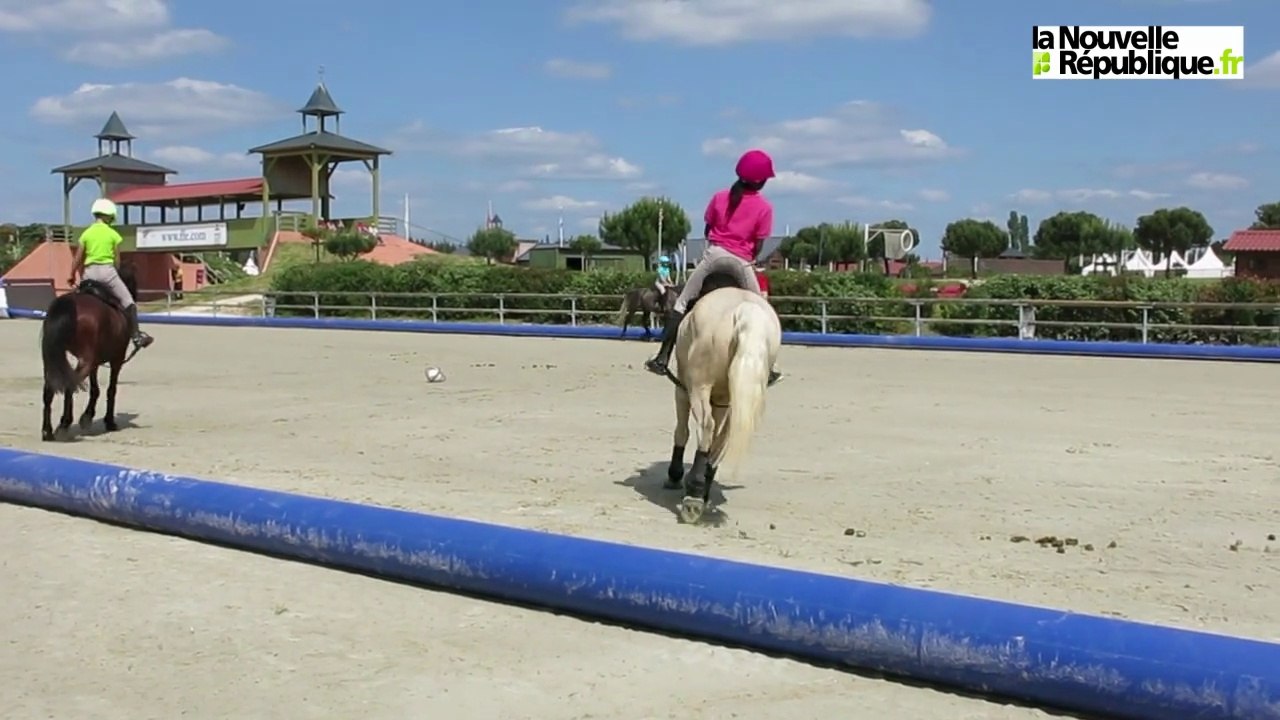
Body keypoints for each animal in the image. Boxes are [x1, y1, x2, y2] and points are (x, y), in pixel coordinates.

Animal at [40, 264, 141, 441]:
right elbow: (111, 389)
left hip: (55, 360)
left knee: (49, 390)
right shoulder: (117, 359)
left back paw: (48, 431)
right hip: (86, 361)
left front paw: (87, 417)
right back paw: (64, 425)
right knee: (70, 385)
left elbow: (95, 390)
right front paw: (109, 421)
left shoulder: (95, 361)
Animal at [662, 271, 782, 523]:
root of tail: (745, 311)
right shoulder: (721, 400)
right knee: (723, 438)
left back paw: (694, 495)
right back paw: (702, 488)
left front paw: (675, 475)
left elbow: (682, 431)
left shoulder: (682, 389)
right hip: (736, 396)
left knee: (706, 428)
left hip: (699, 387)